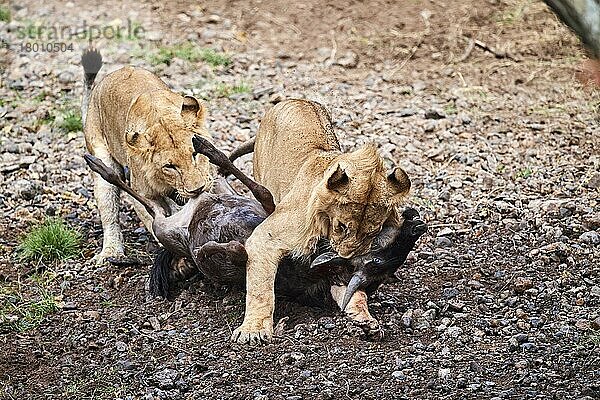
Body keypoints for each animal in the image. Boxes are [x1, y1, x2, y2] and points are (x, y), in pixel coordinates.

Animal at [80, 49, 213, 262]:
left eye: (195, 154)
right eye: (169, 166)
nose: (197, 189)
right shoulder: (140, 192)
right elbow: (154, 221)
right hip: (101, 161)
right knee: (109, 212)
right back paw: (111, 251)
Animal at [231, 99, 412, 344]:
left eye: (371, 234)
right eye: (341, 227)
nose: (346, 256)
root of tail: (295, 99)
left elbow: (354, 291)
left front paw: (365, 319)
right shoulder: (265, 239)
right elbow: (261, 290)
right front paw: (253, 330)